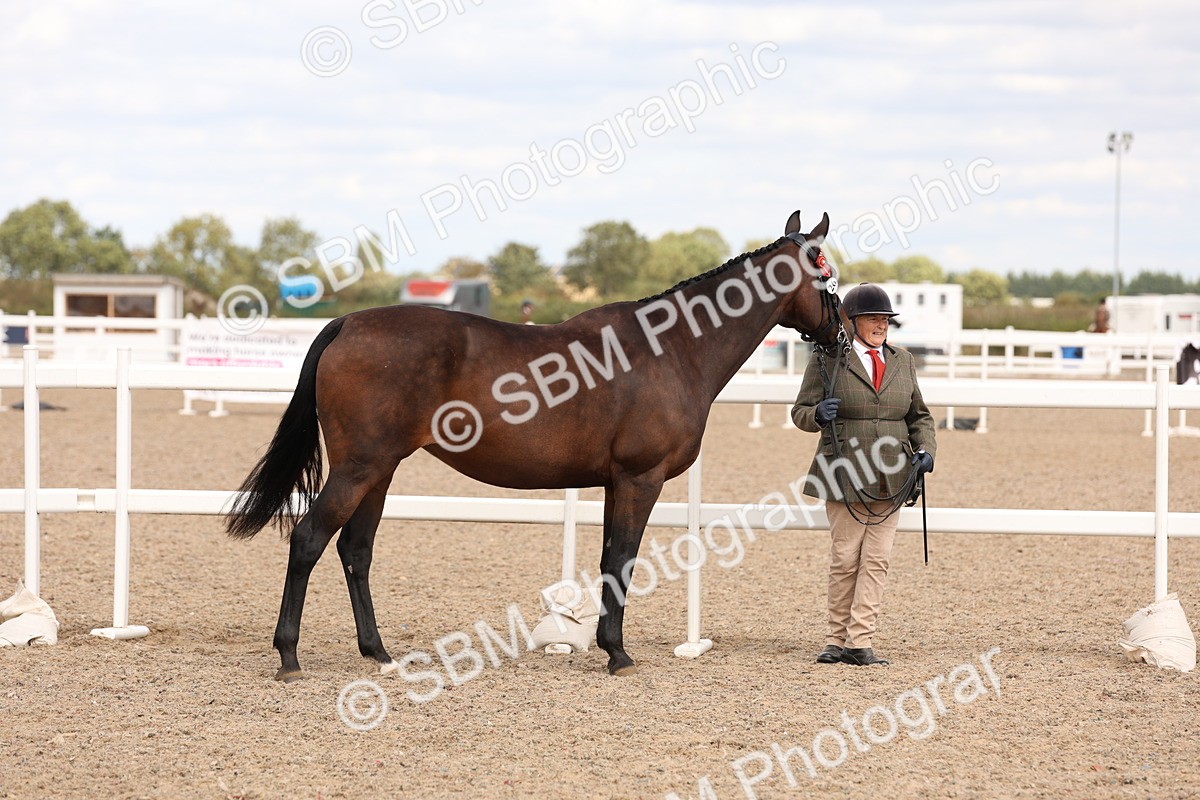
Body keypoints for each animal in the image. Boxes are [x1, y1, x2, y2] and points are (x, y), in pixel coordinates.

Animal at [225, 210, 842, 682]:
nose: (839, 337)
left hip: (379, 471)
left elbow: (608, 561)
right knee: (309, 538)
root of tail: (348, 323)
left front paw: (603, 644)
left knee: (356, 550)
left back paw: (378, 653)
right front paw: (618, 654)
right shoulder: (639, 479)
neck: (671, 349)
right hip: (360, 466)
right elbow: (623, 559)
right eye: (826, 276)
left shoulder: (615, 482)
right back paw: (289, 656)